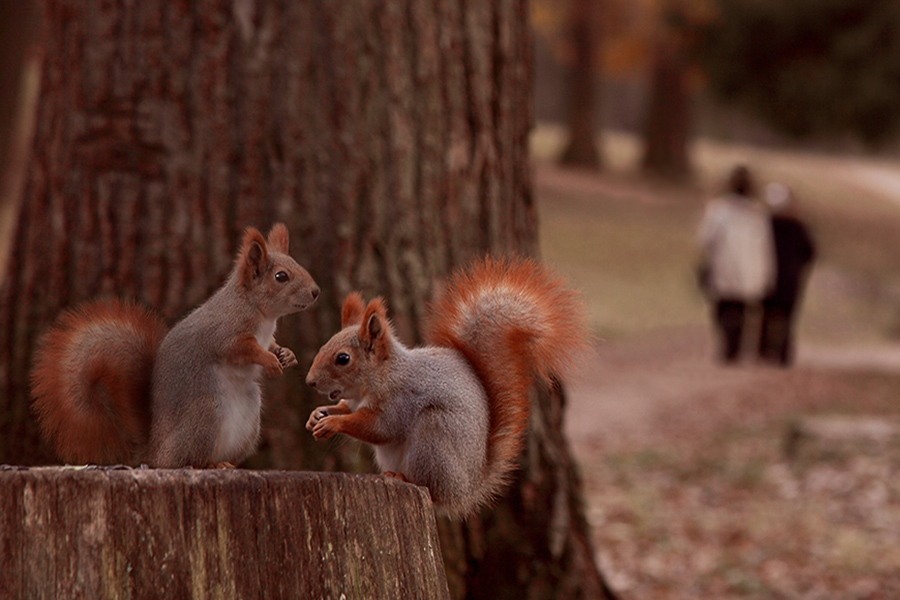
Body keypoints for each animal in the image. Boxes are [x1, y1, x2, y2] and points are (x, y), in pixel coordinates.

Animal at [30, 224, 320, 468]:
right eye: (281, 276)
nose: (316, 292)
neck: (262, 314)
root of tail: (155, 453)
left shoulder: (265, 336)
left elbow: (272, 345)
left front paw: (286, 355)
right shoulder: (225, 334)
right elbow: (243, 349)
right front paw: (270, 361)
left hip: (249, 414)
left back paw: (226, 464)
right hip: (207, 413)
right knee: (187, 461)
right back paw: (211, 465)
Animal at [306, 255, 588, 516]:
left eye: (343, 358)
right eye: (324, 345)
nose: (310, 381)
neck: (379, 377)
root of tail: (468, 489)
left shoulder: (400, 400)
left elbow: (378, 428)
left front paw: (333, 423)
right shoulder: (354, 401)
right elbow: (346, 409)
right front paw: (317, 415)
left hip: (434, 436)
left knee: (432, 488)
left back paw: (403, 478)